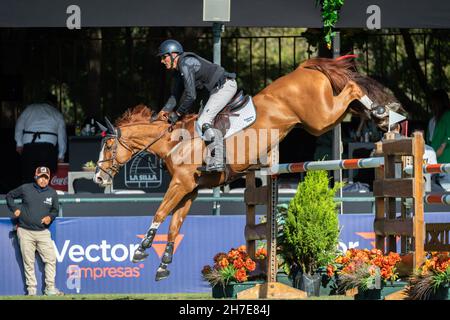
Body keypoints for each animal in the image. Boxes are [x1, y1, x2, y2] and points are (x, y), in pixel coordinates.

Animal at [93, 56, 402, 282]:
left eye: (107, 146)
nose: (97, 176)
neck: (173, 141)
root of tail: (303, 68)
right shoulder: (190, 189)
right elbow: (174, 226)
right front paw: (164, 265)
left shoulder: (180, 184)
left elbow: (159, 213)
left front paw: (141, 250)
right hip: (321, 118)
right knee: (352, 100)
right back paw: (382, 116)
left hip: (319, 118)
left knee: (352, 89)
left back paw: (385, 112)